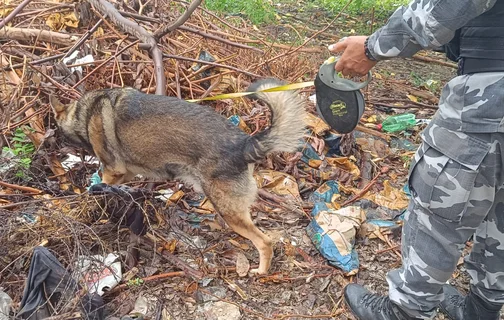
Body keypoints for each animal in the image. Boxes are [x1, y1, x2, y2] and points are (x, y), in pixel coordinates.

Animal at [50, 79, 308, 274]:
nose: (52, 140)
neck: (84, 114)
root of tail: (244, 143)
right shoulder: (126, 171)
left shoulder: (114, 170)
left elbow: (102, 183)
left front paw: (92, 194)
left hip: (229, 211)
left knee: (264, 242)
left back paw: (261, 270)